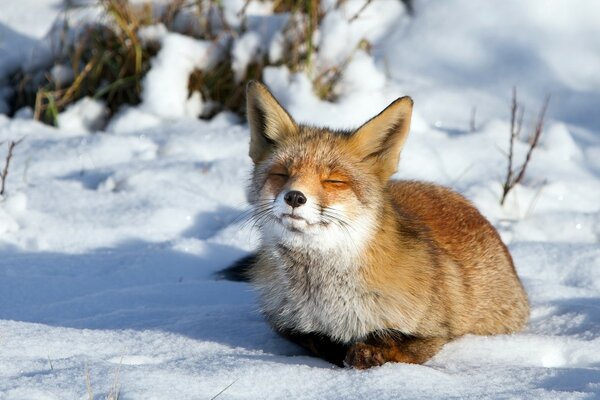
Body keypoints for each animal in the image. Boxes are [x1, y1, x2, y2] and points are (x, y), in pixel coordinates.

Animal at [231, 80, 528, 368]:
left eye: (334, 181)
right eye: (281, 174)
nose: (294, 197)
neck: (325, 300)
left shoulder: (436, 332)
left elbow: (395, 342)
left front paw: (367, 352)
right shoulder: (287, 324)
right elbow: (318, 341)